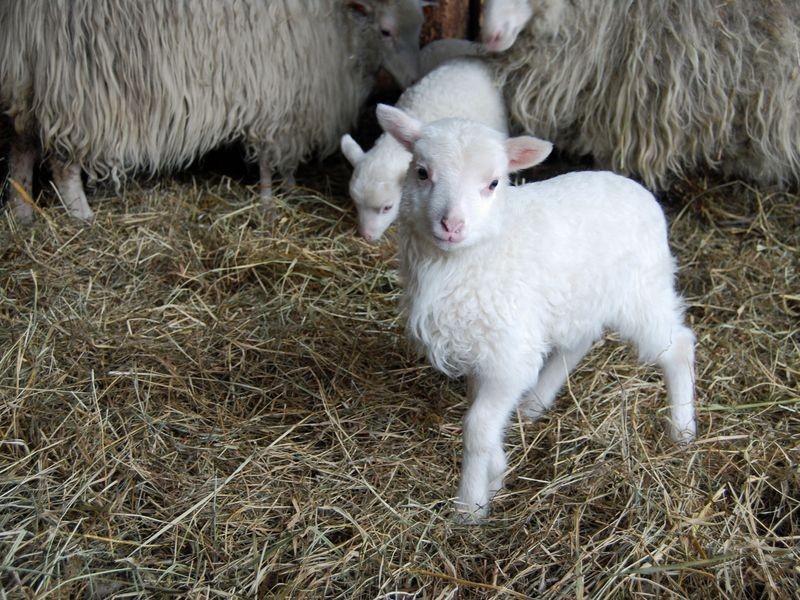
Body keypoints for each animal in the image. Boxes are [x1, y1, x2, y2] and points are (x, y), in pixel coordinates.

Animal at [0, 0, 432, 223]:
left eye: (420, 27)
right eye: (387, 30)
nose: (413, 78)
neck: (342, 26)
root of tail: (21, 16)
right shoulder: (281, 97)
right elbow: (274, 158)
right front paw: (277, 196)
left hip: (29, 80)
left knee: (21, 144)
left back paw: (21, 212)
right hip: (77, 89)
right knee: (63, 164)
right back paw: (81, 216)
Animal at [376, 105, 692, 524]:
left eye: (493, 183)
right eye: (422, 172)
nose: (452, 225)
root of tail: (638, 189)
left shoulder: (508, 352)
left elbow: (477, 427)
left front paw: (470, 507)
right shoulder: (483, 348)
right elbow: (485, 419)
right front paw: (496, 476)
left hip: (643, 290)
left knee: (678, 347)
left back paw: (683, 428)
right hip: (579, 298)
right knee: (578, 343)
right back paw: (534, 403)